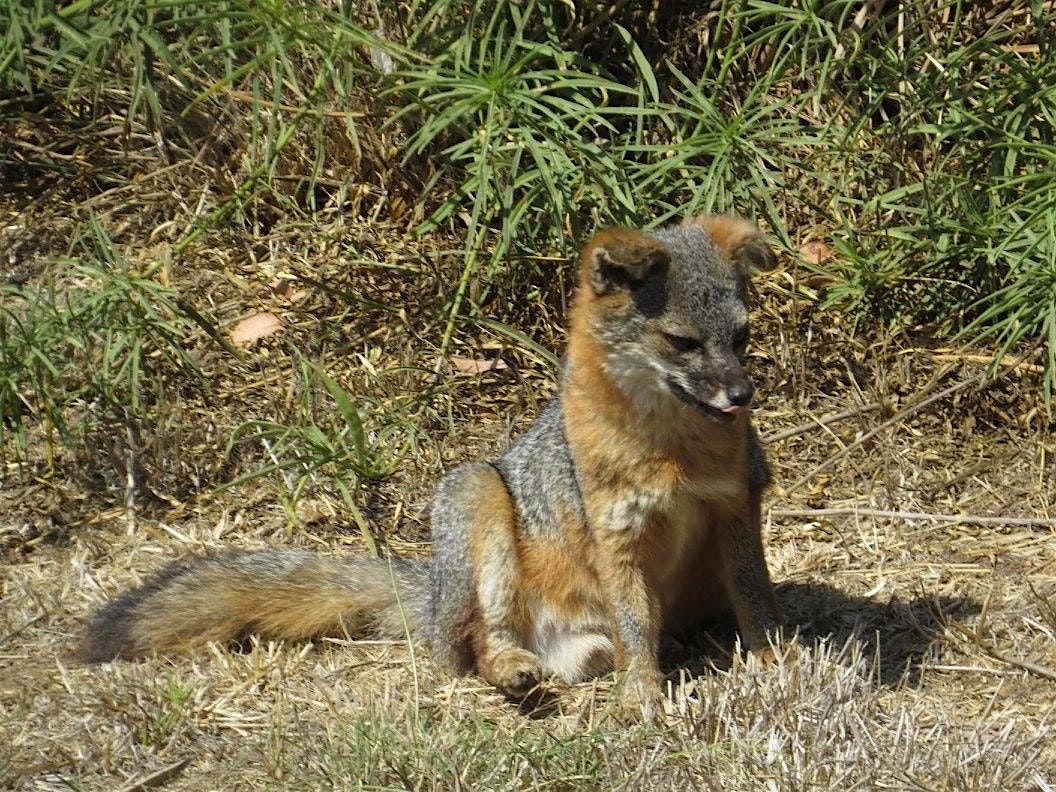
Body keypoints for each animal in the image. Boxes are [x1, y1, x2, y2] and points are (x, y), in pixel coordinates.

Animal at [74, 214, 785, 718]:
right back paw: (510, 671)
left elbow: (756, 599)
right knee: (470, 651)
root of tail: (431, 592)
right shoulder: (617, 535)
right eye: (682, 343)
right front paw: (642, 699)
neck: (670, 454)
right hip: (477, 498)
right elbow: (638, 628)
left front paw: (781, 664)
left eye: (742, 338)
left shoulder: (734, 506)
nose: (742, 395)